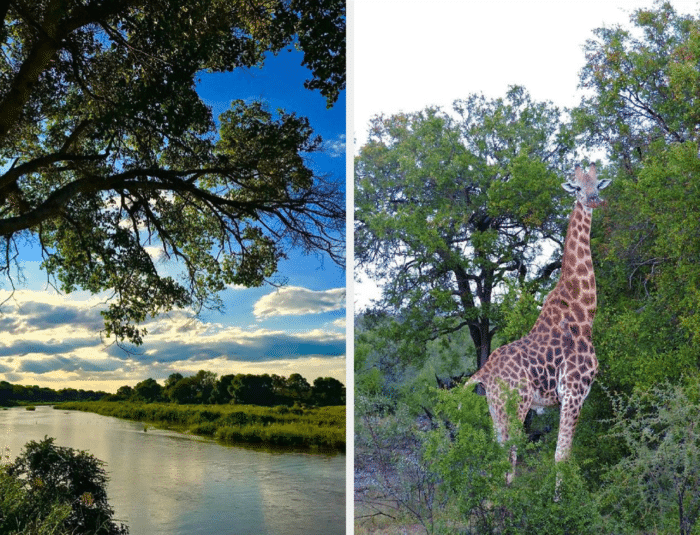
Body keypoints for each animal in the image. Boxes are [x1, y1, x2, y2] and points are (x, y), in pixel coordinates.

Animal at [468, 164, 608, 482]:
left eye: (598, 185)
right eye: (577, 188)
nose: (593, 200)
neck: (584, 312)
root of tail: (483, 372)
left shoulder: (576, 396)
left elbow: (564, 455)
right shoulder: (573, 392)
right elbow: (561, 457)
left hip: (494, 408)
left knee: (496, 458)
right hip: (514, 406)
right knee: (508, 458)